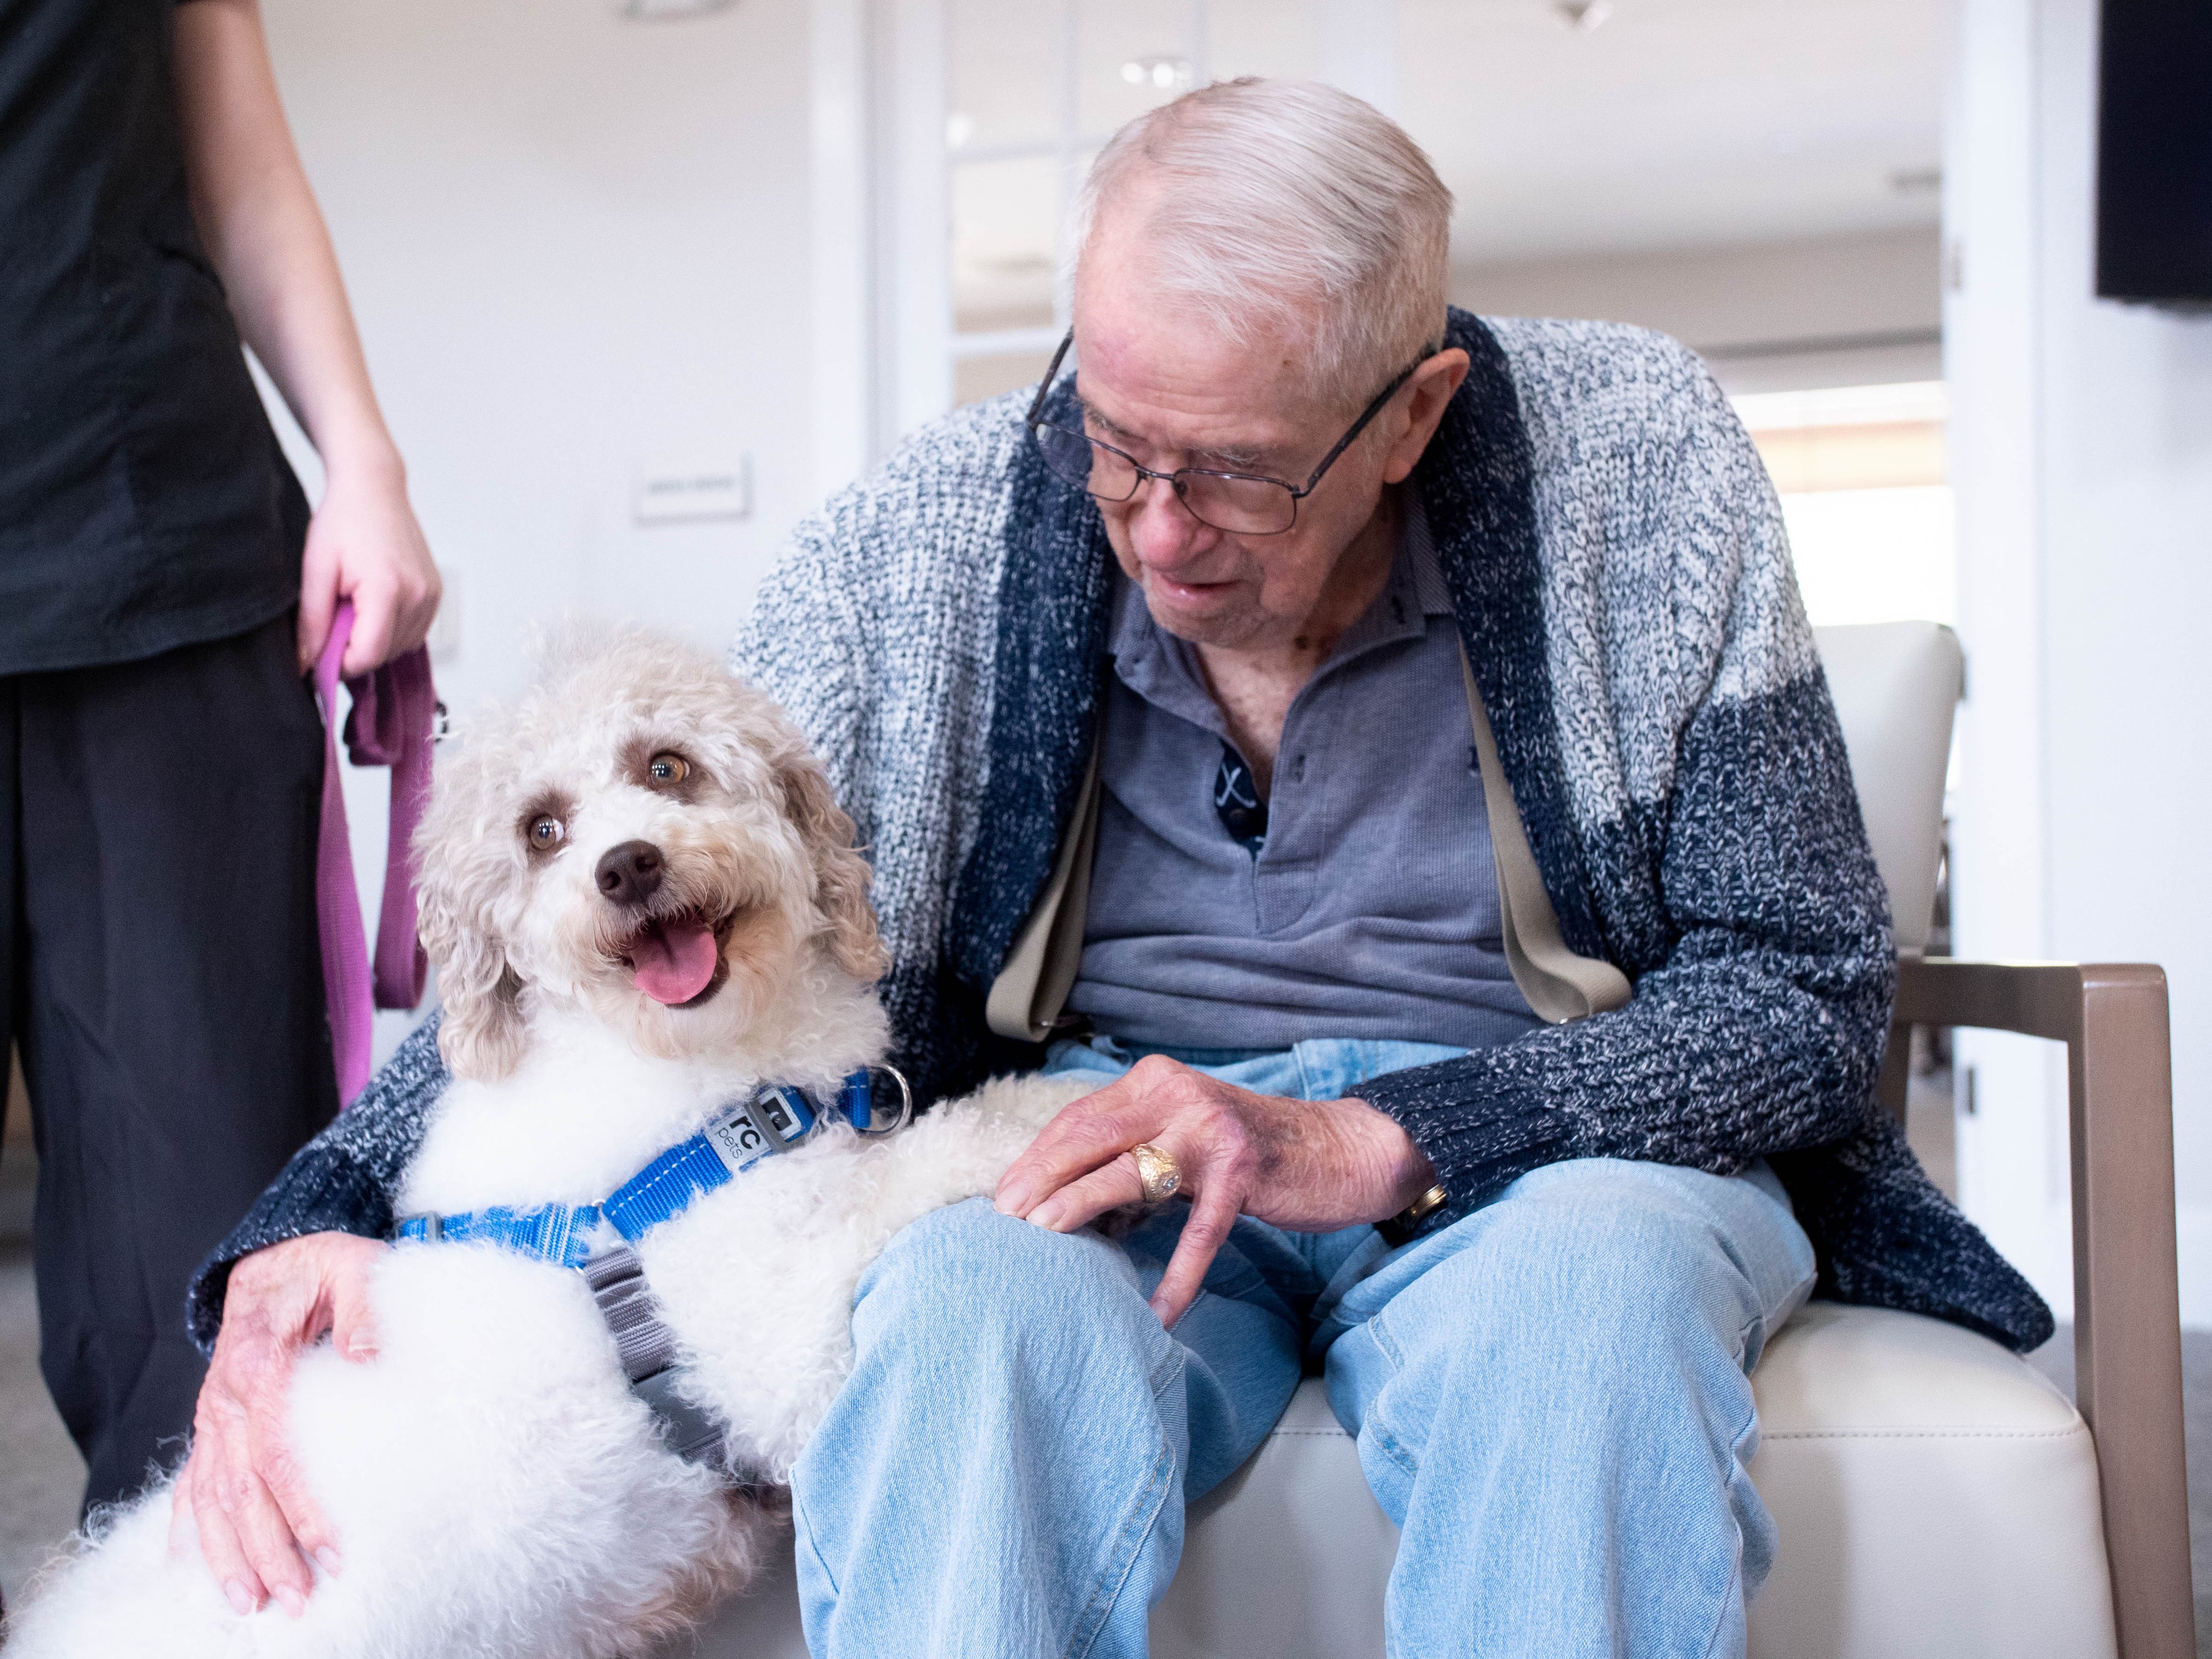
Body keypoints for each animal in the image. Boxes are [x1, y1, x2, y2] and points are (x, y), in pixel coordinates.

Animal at [4, 628, 1092, 1659]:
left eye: (667, 766)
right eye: (543, 831)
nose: (627, 865)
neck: (693, 1082)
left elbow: (979, 1111)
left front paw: (1069, 1098)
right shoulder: (778, 1354)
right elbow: (920, 1161)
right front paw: (1066, 1122)